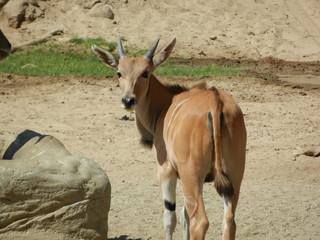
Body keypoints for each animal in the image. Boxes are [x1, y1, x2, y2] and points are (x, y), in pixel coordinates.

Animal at [92, 38, 248, 239]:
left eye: (145, 73)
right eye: (119, 73)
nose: (128, 101)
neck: (166, 103)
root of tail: (216, 103)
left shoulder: (166, 170)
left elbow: (170, 217)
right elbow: (184, 215)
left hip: (192, 176)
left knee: (200, 221)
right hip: (233, 177)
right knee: (228, 221)